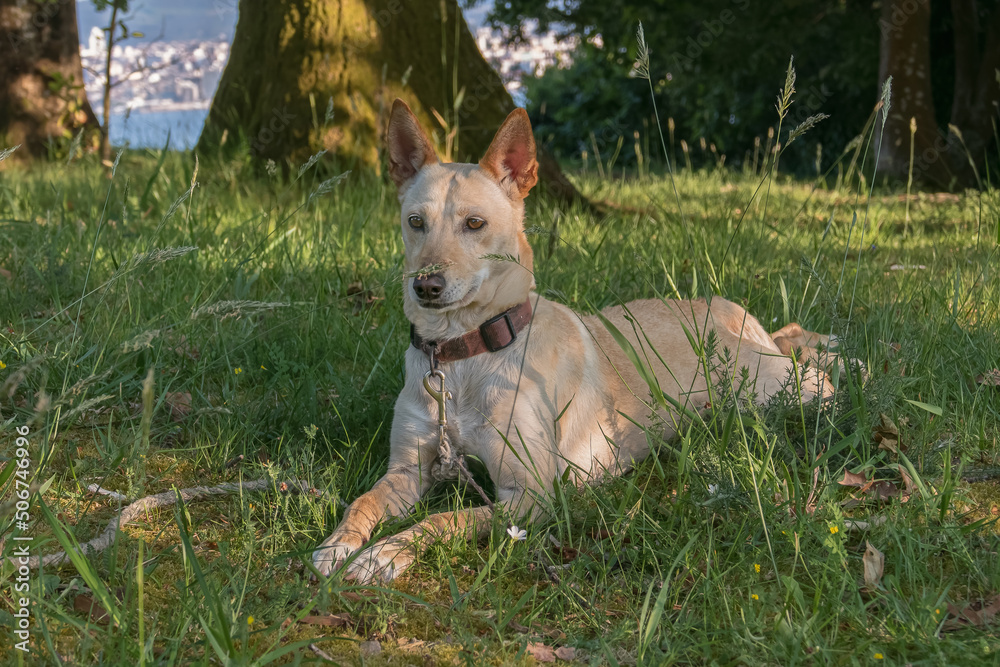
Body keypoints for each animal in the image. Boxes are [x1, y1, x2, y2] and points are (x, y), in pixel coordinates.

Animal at [312, 100, 836, 584]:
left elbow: (445, 519)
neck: (464, 355)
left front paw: (386, 552)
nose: (426, 286)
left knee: (818, 374)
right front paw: (341, 544)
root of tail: (724, 312)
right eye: (415, 222)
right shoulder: (406, 472)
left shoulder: (529, 494)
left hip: (775, 390)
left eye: (475, 224)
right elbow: (363, 501)